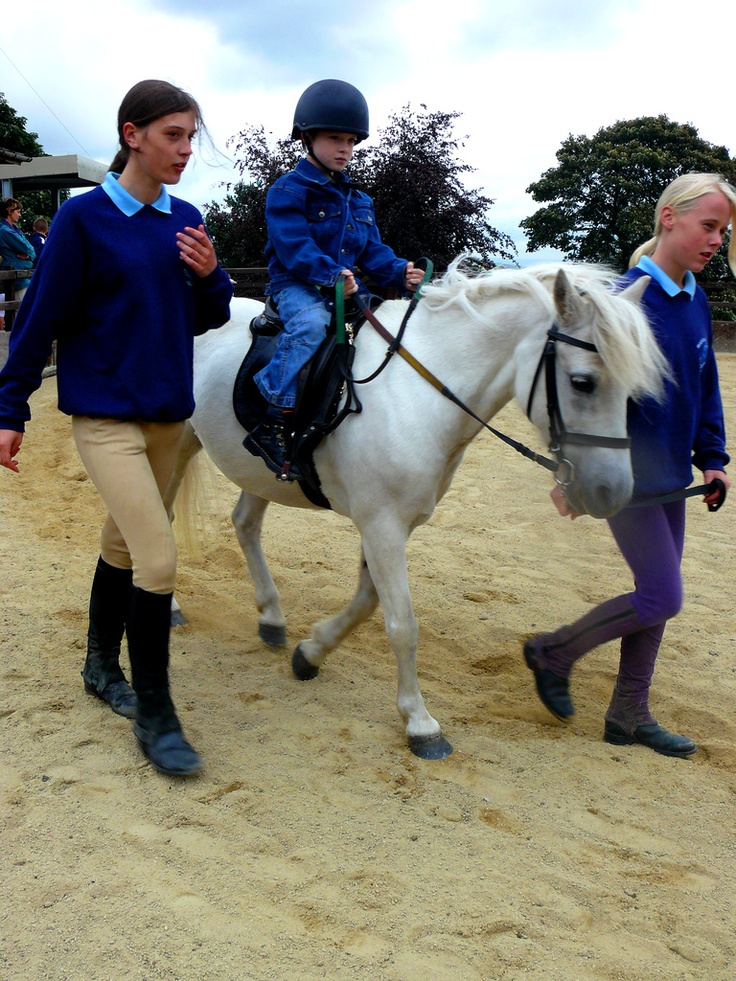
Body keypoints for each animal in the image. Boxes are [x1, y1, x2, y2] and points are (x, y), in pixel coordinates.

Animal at [167, 258, 668, 756]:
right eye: (583, 382)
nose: (613, 493)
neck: (416, 392)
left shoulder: (390, 525)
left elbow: (368, 602)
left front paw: (311, 653)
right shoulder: (382, 525)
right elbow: (403, 624)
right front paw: (420, 723)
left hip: (261, 473)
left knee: (244, 524)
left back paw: (271, 618)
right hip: (174, 445)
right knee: (163, 520)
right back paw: (173, 608)